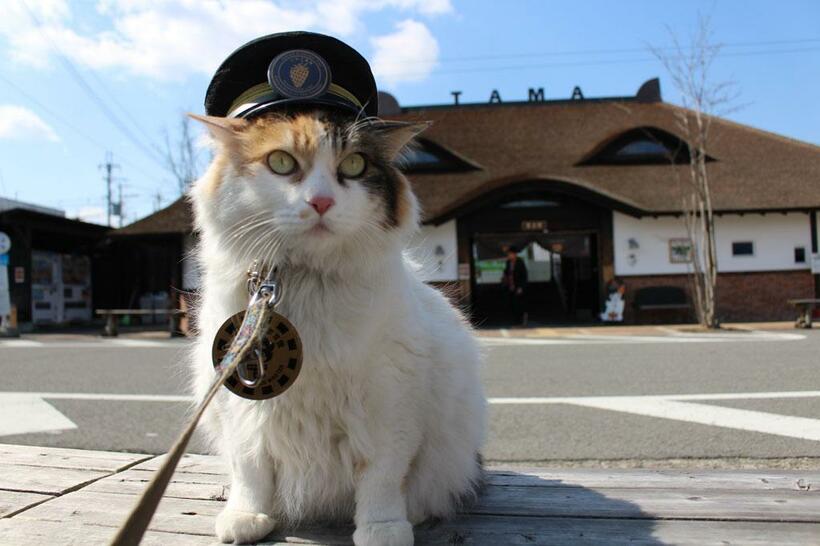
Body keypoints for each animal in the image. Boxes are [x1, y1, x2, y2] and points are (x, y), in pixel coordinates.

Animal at [189, 108, 486, 540]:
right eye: (282, 162)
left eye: (354, 165)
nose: (321, 202)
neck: (302, 285)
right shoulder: (238, 407)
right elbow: (250, 470)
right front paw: (248, 517)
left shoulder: (391, 398)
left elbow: (382, 477)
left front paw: (383, 529)